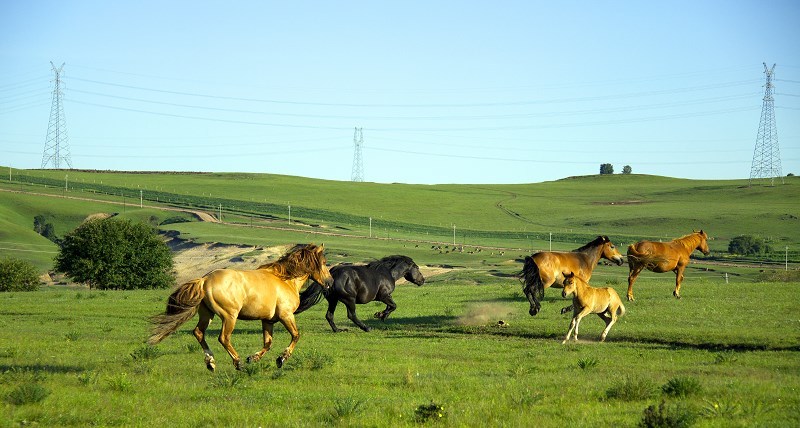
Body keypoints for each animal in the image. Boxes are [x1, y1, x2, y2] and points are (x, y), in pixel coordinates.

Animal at [148, 244, 332, 372]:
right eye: (324, 262)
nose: (330, 283)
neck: (285, 280)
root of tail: (205, 280)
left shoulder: (268, 320)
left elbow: (268, 343)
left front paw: (253, 358)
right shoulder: (286, 315)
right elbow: (295, 336)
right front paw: (281, 359)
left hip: (207, 314)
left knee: (199, 333)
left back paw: (211, 363)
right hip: (229, 316)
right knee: (223, 338)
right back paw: (238, 363)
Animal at [296, 256, 424, 332]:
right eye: (417, 268)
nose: (422, 280)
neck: (389, 273)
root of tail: (333, 273)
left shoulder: (387, 297)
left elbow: (390, 306)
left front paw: (381, 314)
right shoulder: (384, 296)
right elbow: (393, 306)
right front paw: (381, 315)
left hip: (333, 300)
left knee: (329, 315)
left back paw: (338, 330)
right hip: (349, 299)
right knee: (351, 315)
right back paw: (366, 328)